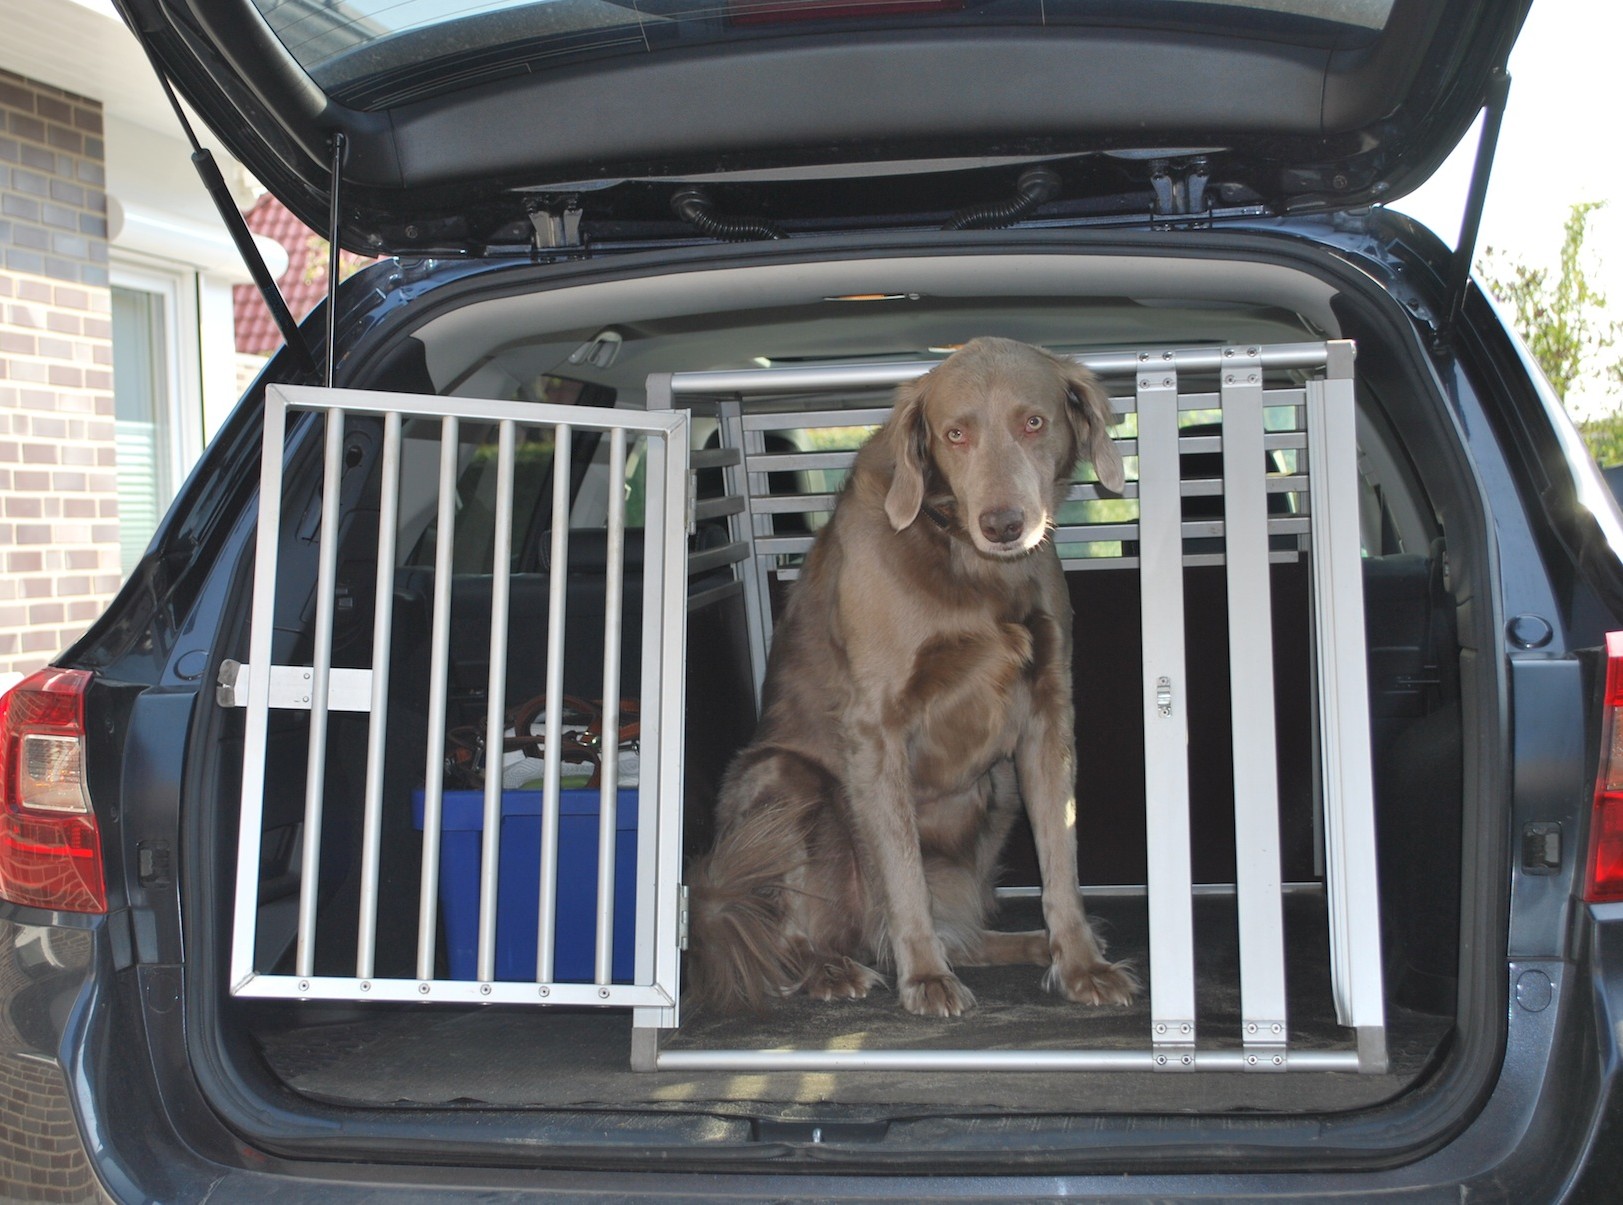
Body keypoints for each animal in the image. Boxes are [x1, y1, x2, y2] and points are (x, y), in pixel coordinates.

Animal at [688, 337, 1142, 1019]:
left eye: (1034, 422)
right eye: (955, 434)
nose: (1003, 524)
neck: (965, 558)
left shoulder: (1047, 716)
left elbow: (1061, 858)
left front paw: (1082, 964)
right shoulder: (876, 727)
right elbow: (902, 872)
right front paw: (925, 977)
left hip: (998, 788)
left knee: (964, 934)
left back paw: (1029, 944)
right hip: (781, 780)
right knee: (784, 938)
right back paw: (828, 969)